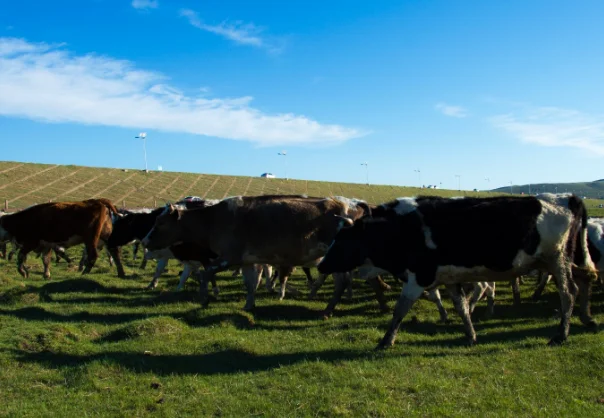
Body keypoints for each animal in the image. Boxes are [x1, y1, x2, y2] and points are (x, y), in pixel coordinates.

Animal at [318, 194, 596, 348]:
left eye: (342, 241)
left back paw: (561, 334)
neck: (400, 228)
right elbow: (461, 307)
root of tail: (569, 198)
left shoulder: (419, 277)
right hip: (560, 263)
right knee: (585, 280)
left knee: (568, 293)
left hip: (558, 261)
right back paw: (587, 318)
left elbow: (400, 310)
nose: (321, 265)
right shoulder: (448, 278)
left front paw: (386, 340)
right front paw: (471, 335)